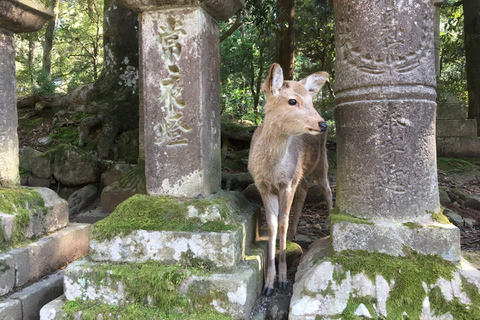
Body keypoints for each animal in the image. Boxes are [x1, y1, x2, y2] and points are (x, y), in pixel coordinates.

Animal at [248, 62, 334, 296]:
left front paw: (283, 279)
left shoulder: (286, 183)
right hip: (301, 174)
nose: (322, 124)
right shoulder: (263, 186)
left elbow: (282, 223)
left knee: (327, 189)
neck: (272, 170)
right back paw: (295, 233)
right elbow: (272, 225)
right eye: (292, 101)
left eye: (311, 101)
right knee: (304, 188)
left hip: (322, 162)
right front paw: (268, 283)